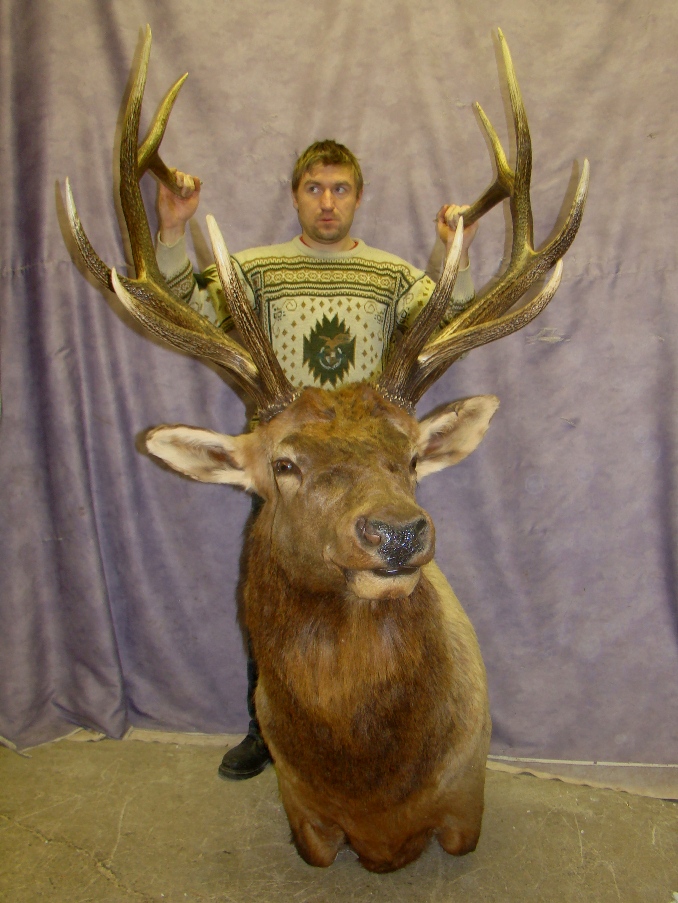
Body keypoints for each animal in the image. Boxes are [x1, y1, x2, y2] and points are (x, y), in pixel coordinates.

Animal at [65, 26, 588, 872]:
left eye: (410, 458)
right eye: (283, 463)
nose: (398, 532)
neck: (372, 791)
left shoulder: (466, 802)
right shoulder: (305, 815)